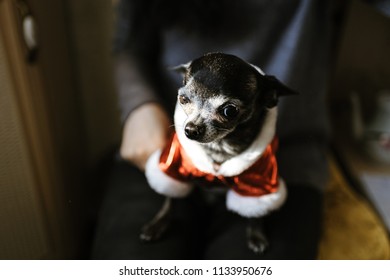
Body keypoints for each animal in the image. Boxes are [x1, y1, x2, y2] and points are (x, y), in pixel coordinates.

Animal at [140, 52, 296, 254]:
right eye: (183, 99)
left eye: (229, 110)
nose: (190, 130)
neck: (220, 147)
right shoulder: (173, 165)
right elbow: (170, 199)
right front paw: (158, 223)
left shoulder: (260, 180)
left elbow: (256, 211)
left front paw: (256, 233)